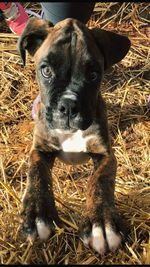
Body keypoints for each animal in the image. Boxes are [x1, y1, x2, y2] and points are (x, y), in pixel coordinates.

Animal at [17, 16, 130, 255]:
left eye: (93, 75)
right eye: (46, 71)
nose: (68, 105)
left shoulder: (105, 155)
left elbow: (100, 181)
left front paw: (101, 224)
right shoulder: (40, 149)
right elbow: (37, 173)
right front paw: (37, 215)